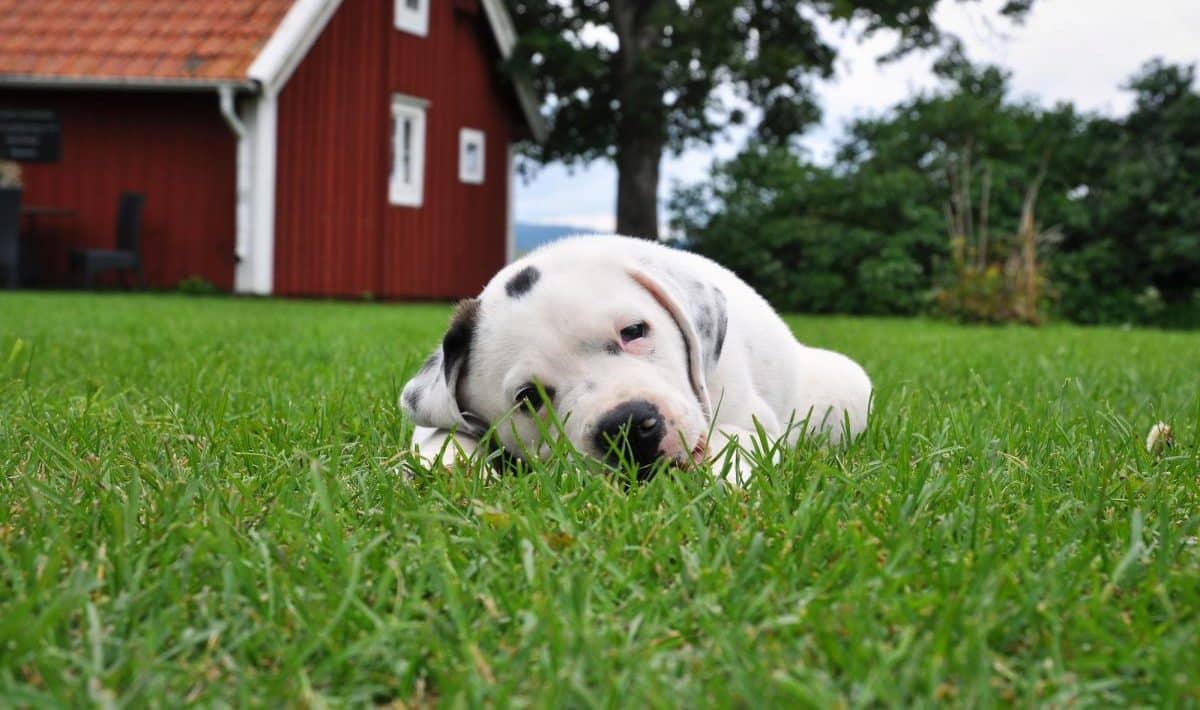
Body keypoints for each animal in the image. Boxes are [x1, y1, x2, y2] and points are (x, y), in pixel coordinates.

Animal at [403, 236, 873, 479]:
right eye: (527, 398)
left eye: (633, 331)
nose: (626, 427)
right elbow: (438, 431)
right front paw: (445, 462)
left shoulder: (752, 419)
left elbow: (733, 438)